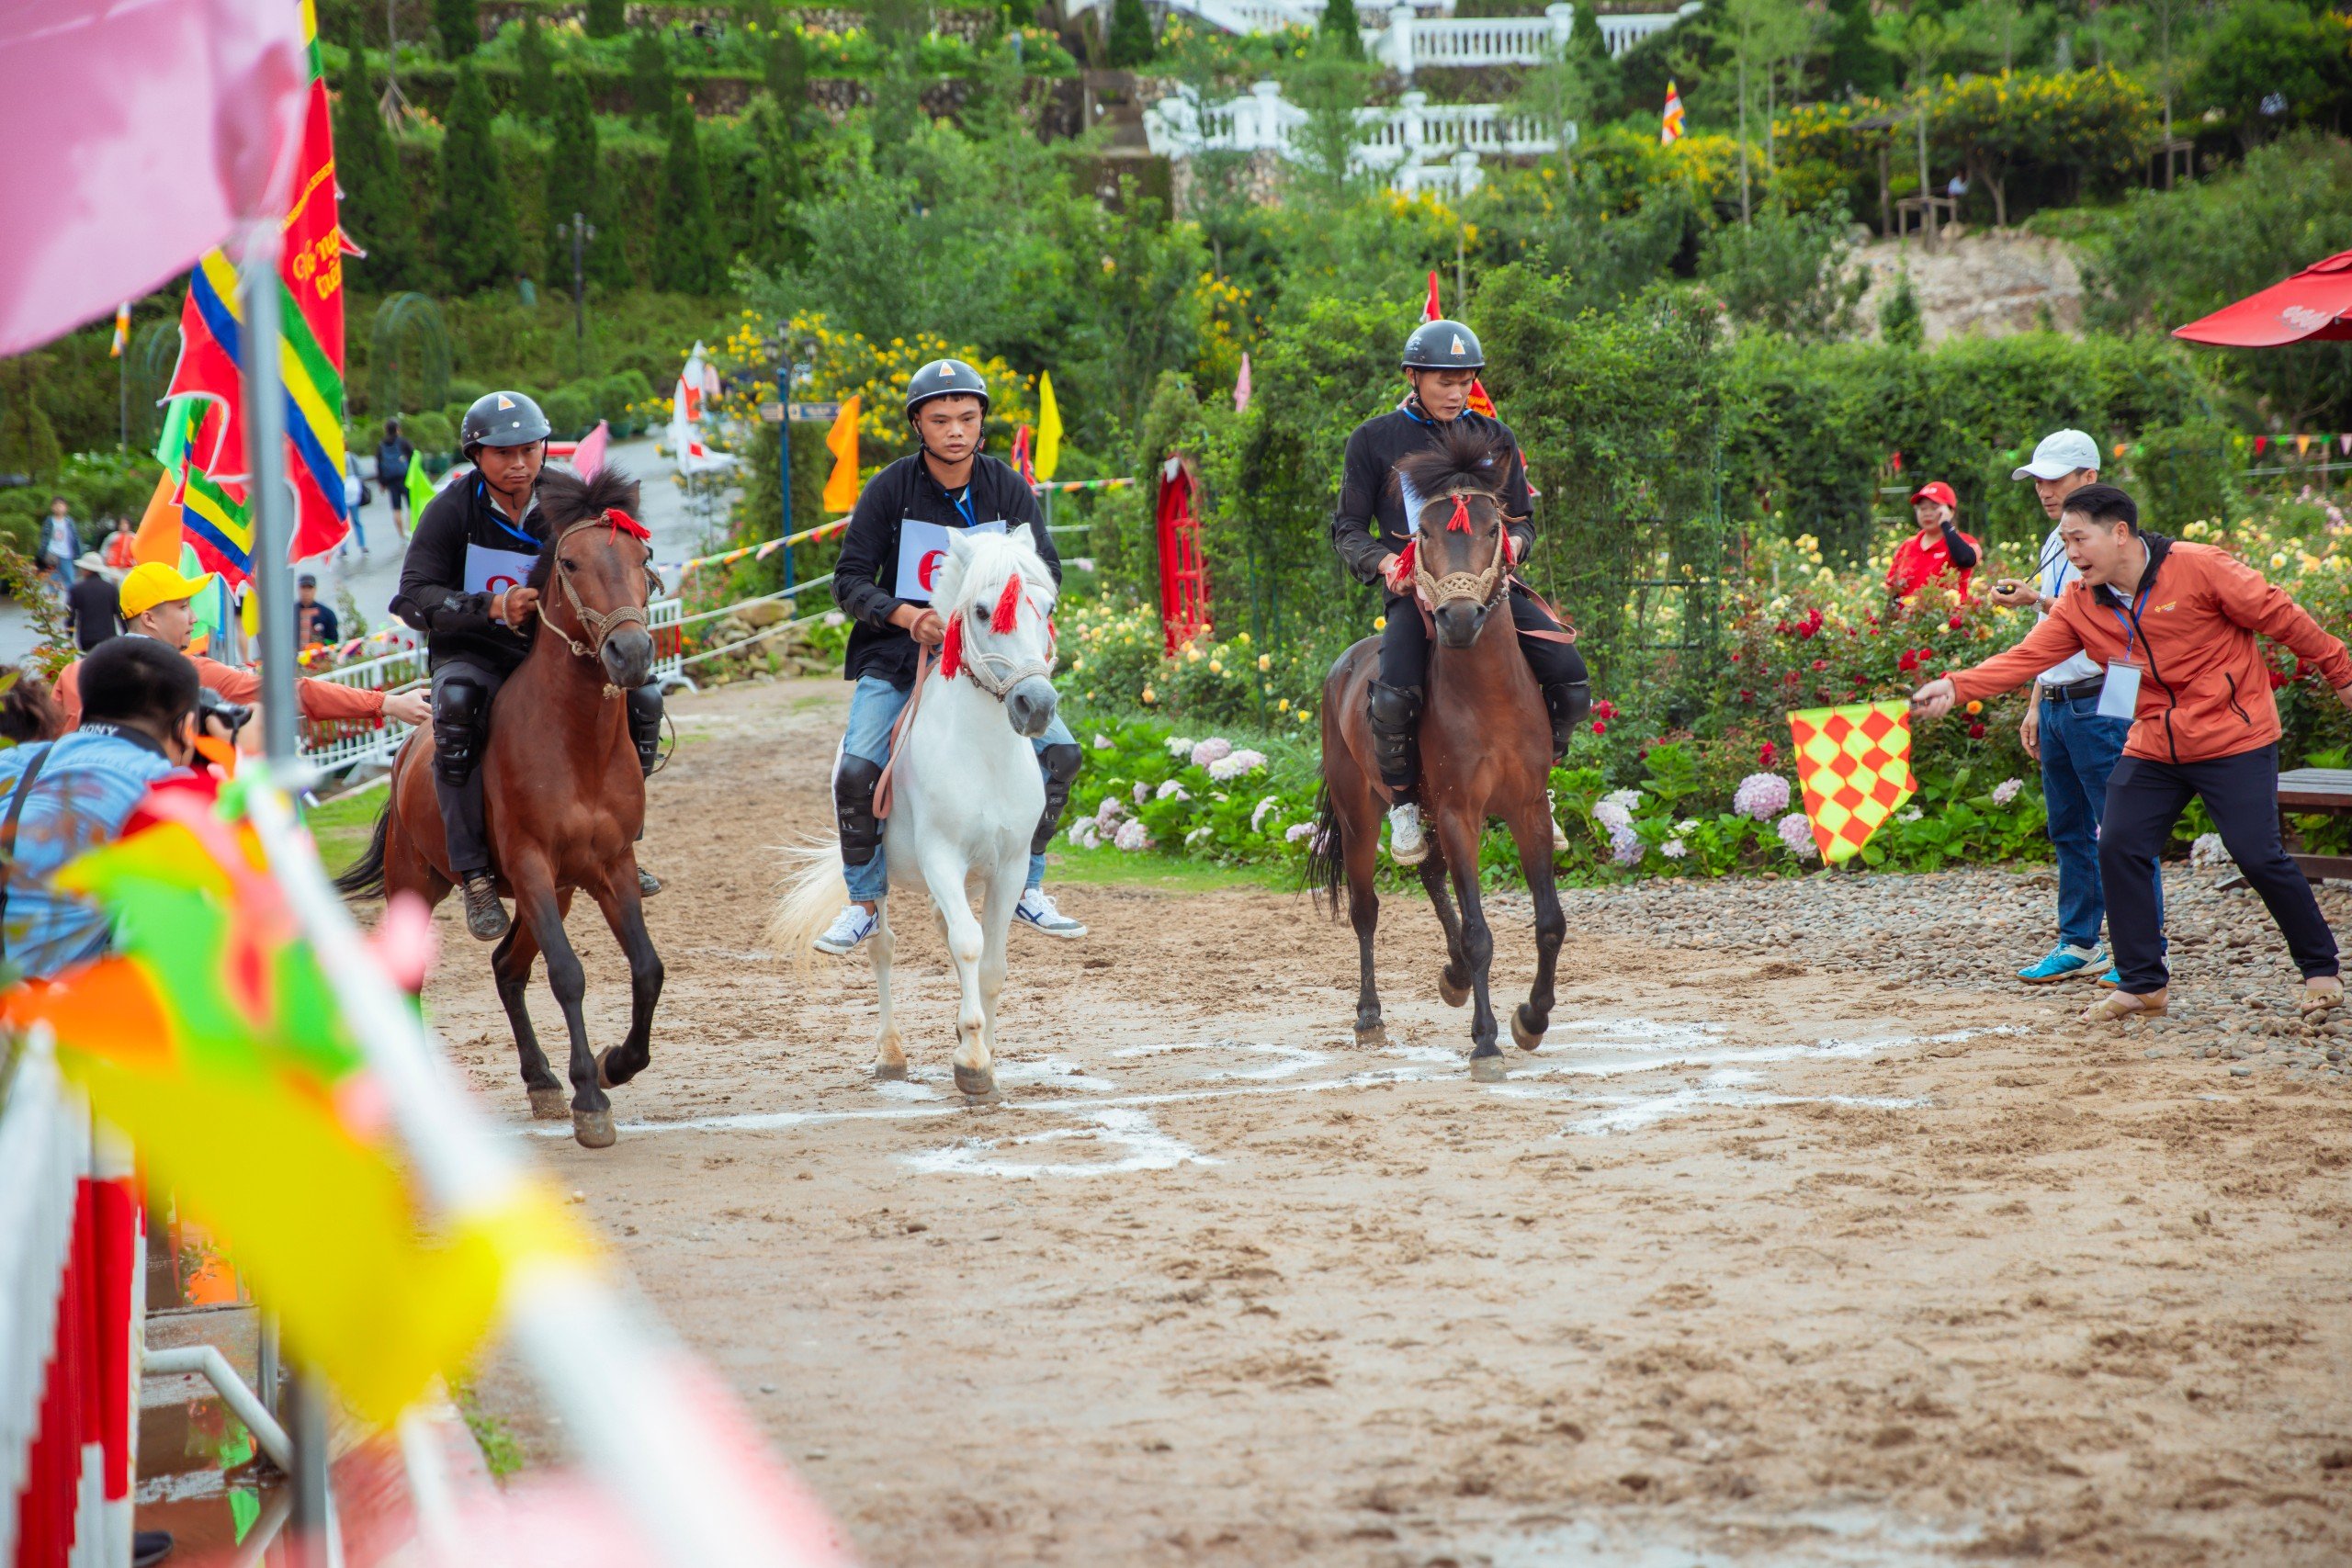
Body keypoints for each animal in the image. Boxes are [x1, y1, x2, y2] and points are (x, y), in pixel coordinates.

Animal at [331, 460, 668, 1146]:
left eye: (640, 556)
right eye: (571, 562)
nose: (631, 655)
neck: (576, 741)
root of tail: (408, 748)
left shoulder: (609, 867)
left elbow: (647, 968)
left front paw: (615, 1064)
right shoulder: (533, 864)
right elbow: (568, 973)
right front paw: (591, 1097)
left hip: (557, 892)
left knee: (507, 965)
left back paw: (540, 1080)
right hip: (419, 882)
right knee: (412, 976)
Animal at [766, 522, 1063, 1100]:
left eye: (1047, 606)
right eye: (982, 611)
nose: (1036, 706)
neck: (983, 755)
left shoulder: (1011, 866)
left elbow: (992, 965)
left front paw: (985, 1058)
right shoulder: (941, 857)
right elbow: (969, 945)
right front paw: (972, 1063)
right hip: (884, 878)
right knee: (883, 946)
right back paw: (890, 1055)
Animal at [1317, 423, 1571, 1086]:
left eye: (1493, 527)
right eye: (1423, 533)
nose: (1457, 618)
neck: (1490, 695)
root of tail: (1344, 665)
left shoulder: (1528, 808)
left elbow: (1550, 921)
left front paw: (1532, 1018)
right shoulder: (1461, 812)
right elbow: (1482, 931)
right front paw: (1486, 1044)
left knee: (1430, 872)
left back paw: (1453, 977)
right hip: (1361, 814)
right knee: (1366, 907)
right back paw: (1370, 1017)